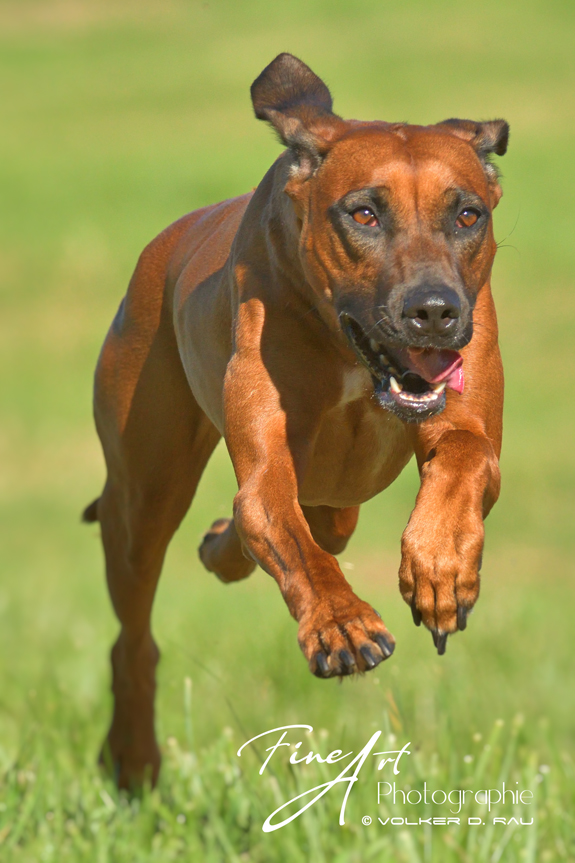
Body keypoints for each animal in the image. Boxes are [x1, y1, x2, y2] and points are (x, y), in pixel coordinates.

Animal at [83, 54, 506, 792]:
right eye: (363, 212)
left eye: (466, 214)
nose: (434, 311)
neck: (347, 350)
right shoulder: (267, 458)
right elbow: (276, 516)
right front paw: (341, 622)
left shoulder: (464, 415)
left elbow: (464, 456)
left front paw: (440, 568)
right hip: (141, 496)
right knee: (135, 634)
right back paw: (134, 758)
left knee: (320, 521)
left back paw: (223, 547)